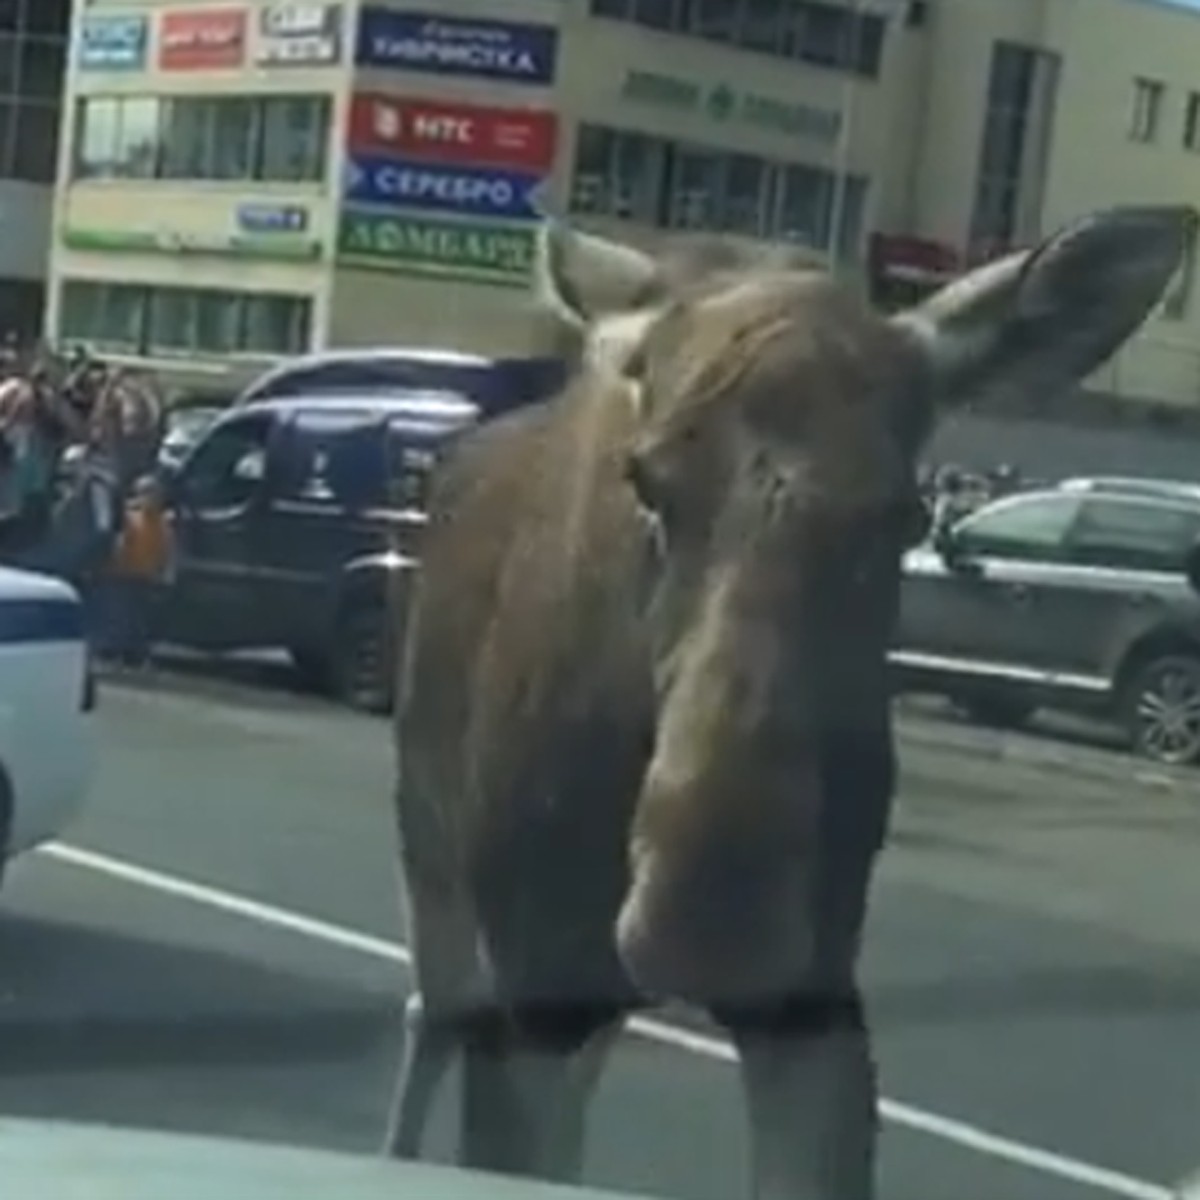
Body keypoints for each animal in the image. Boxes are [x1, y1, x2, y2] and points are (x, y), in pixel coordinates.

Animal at [381, 206, 1190, 1200]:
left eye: (905, 514)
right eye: (644, 480)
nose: (714, 916)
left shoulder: (814, 995)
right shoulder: (536, 977)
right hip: (434, 850)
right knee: (431, 1009)